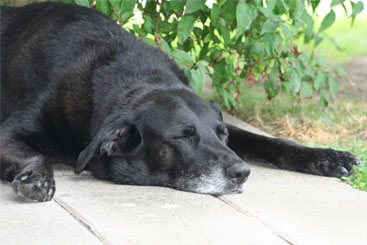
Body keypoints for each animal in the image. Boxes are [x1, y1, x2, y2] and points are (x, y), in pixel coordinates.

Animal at [0, 2, 360, 201]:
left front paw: (326, 157)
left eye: (221, 135)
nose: (243, 172)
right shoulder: (9, 132)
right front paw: (37, 178)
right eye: (182, 137)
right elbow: (37, 155)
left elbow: (271, 142)